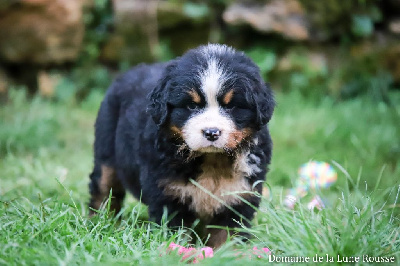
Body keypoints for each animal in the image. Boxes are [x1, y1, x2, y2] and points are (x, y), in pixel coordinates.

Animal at [88, 43, 276, 247]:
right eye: (192, 106)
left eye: (231, 106)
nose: (211, 132)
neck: (212, 159)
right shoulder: (168, 195)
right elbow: (178, 234)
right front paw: (180, 251)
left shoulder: (238, 197)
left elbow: (227, 237)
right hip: (106, 153)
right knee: (103, 190)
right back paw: (101, 224)